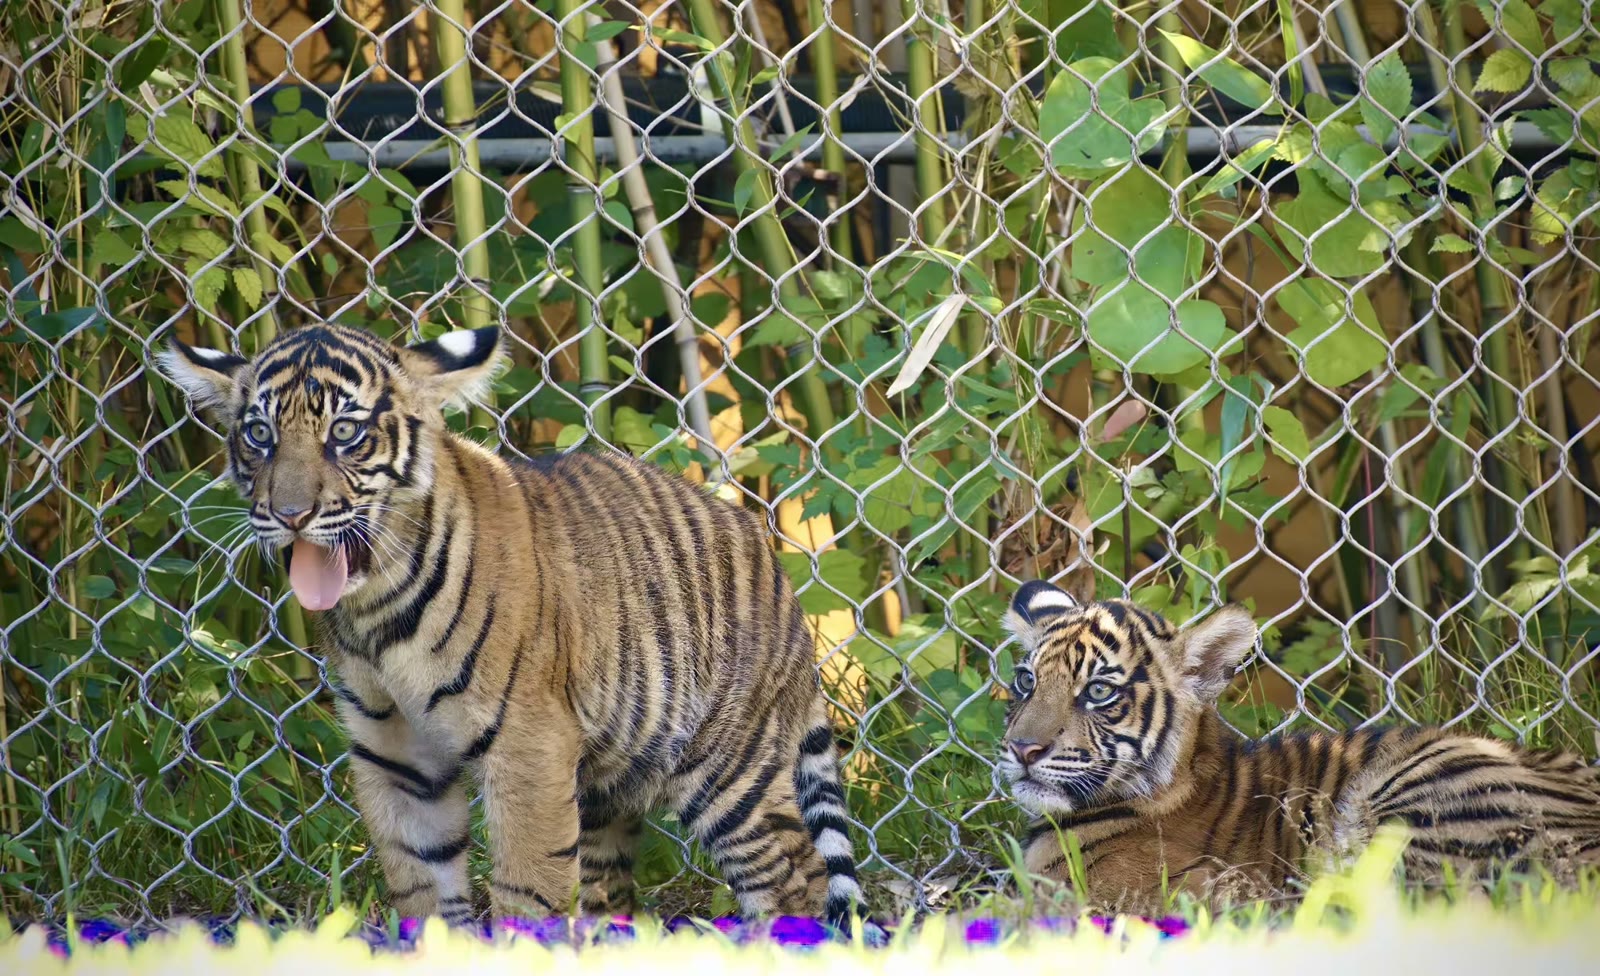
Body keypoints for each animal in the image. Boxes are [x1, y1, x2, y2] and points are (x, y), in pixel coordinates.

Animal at [157, 323, 862, 925]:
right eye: (259, 435)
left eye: (347, 433)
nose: (290, 514)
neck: (376, 611)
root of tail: (774, 560)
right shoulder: (394, 756)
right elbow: (424, 883)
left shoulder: (529, 745)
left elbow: (530, 890)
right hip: (611, 782)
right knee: (612, 891)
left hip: (727, 769)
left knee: (795, 880)